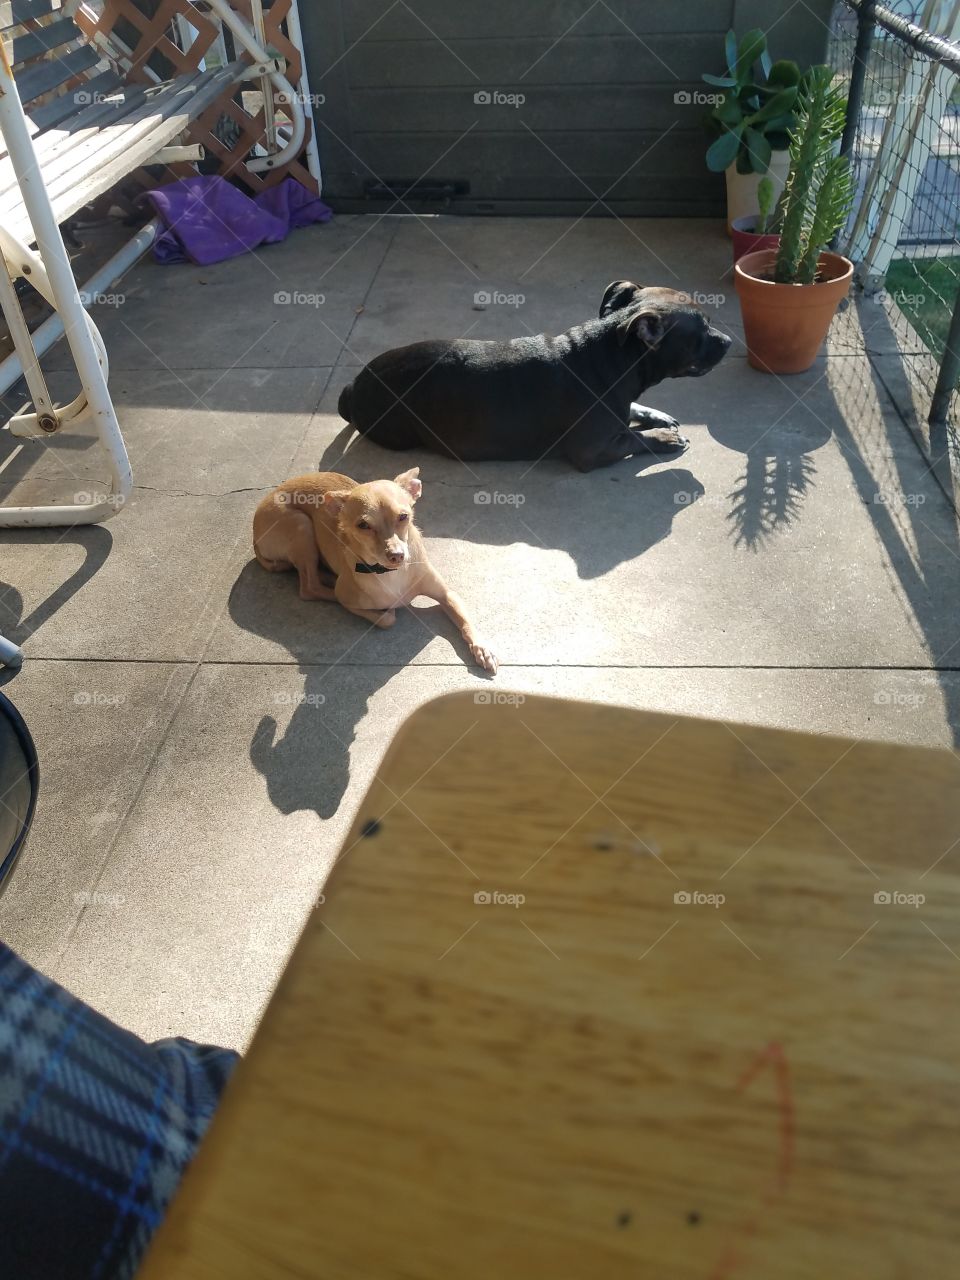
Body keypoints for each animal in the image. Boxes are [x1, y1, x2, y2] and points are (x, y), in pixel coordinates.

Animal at [252, 468, 499, 670]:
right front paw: (387, 610)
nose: (397, 555)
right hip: (300, 525)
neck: (391, 574)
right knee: (309, 587)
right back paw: (330, 582)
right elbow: (387, 619)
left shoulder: (447, 594)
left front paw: (482, 647)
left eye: (403, 516)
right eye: (363, 525)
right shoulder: (352, 603)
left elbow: (466, 621)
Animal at [337, 282, 727, 473]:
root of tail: (355, 385)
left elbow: (631, 411)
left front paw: (655, 415)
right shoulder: (594, 451)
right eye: (702, 330)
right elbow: (633, 439)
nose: (728, 340)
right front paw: (661, 437)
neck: (614, 355)